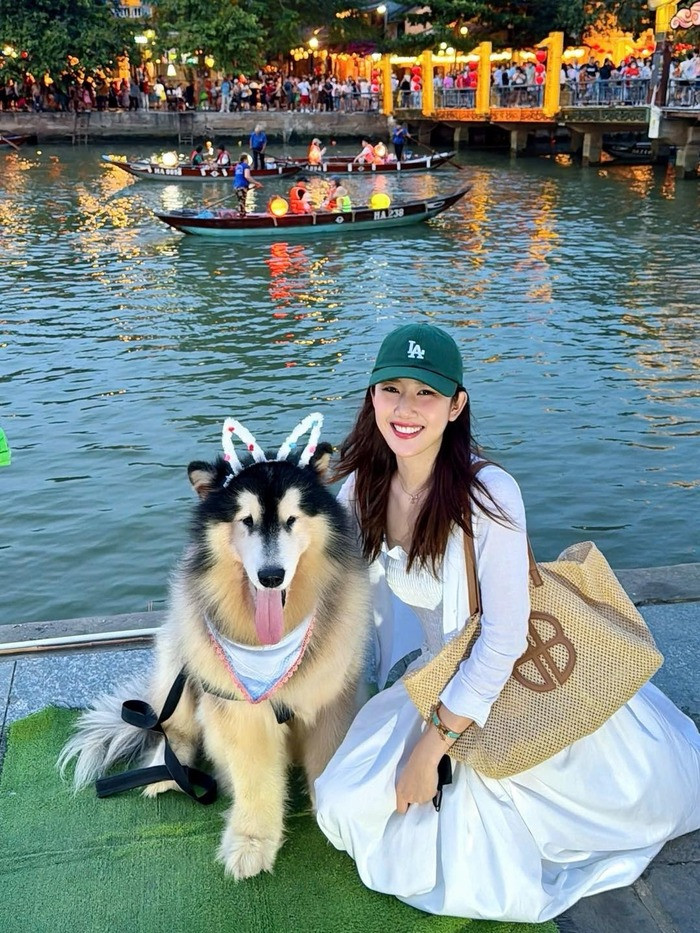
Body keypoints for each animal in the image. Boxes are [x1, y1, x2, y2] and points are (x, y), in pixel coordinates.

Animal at [59, 414, 370, 880]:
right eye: (246, 520)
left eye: (292, 519)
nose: (272, 576)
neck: (273, 648)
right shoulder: (241, 713)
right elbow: (255, 779)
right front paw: (251, 843)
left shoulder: (330, 698)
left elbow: (330, 760)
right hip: (182, 653)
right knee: (172, 730)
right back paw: (163, 772)